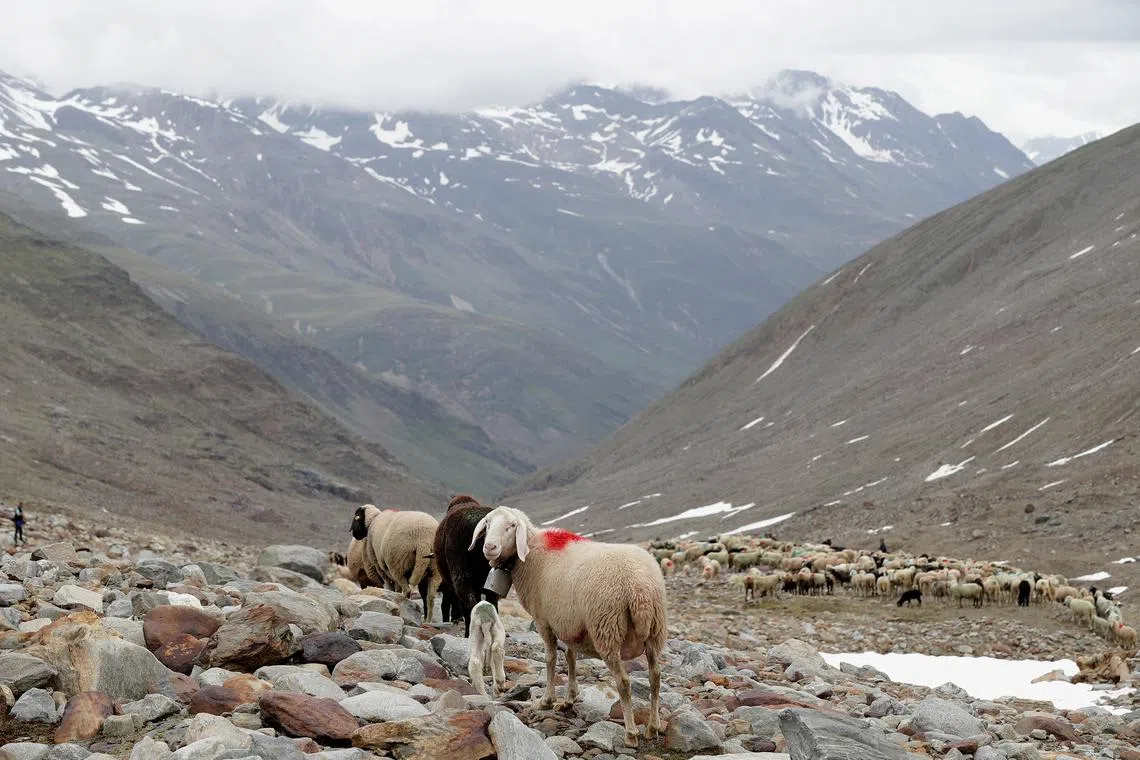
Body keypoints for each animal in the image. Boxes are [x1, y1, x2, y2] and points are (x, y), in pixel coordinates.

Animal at [469, 506, 667, 748]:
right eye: (487, 523)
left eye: (512, 526)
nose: (489, 547)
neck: (532, 555)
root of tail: (640, 586)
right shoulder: (569, 622)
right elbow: (571, 658)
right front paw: (569, 698)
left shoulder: (544, 621)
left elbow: (551, 659)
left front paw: (547, 700)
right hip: (655, 632)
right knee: (655, 677)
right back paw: (652, 727)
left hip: (607, 628)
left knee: (623, 682)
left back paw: (631, 733)